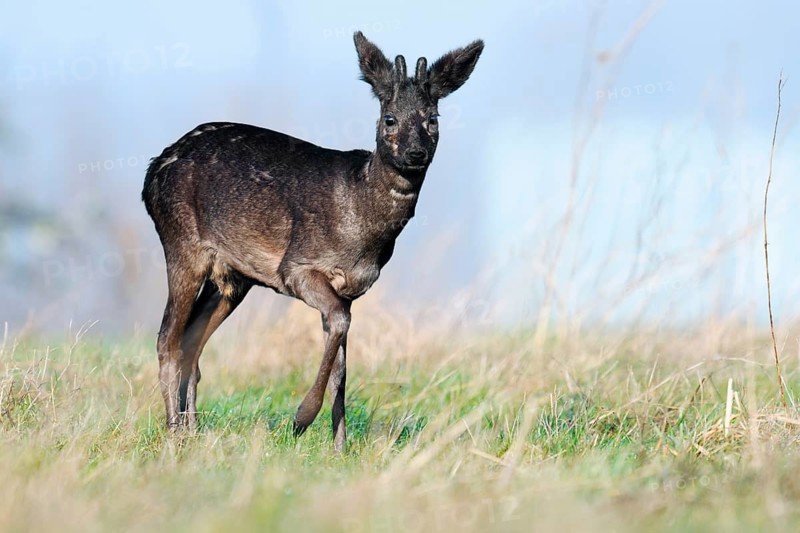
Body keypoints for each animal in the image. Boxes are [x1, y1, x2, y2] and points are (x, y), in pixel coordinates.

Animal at [141, 31, 483, 452]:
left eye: (432, 118)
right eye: (390, 118)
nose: (415, 152)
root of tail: (152, 170)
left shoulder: (351, 289)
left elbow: (342, 364)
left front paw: (339, 448)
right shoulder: (298, 266)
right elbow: (339, 324)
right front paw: (302, 419)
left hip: (233, 278)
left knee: (192, 341)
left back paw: (192, 431)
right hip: (182, 241)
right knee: (167, 339)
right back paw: (174, 434)